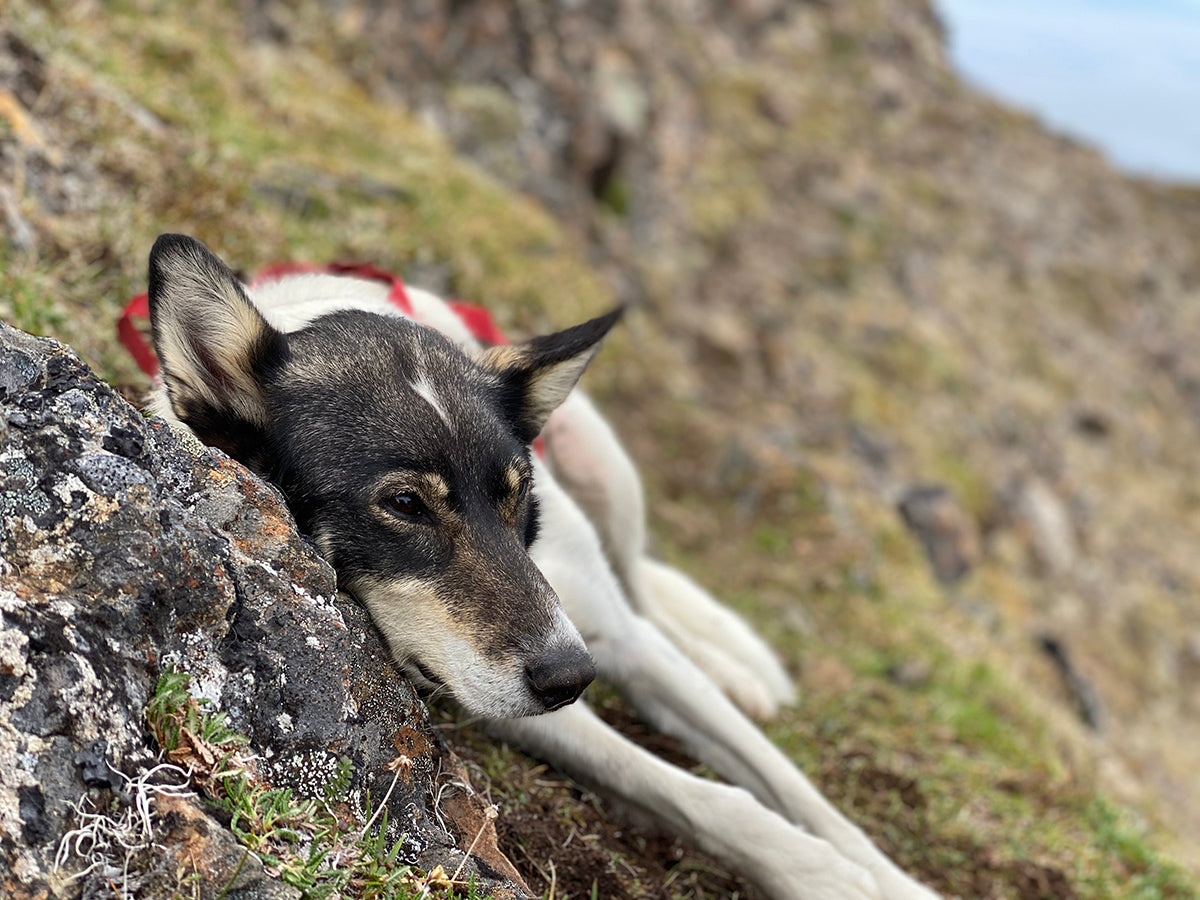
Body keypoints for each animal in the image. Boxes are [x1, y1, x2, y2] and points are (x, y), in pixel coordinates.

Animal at [147, 234, 936, 900]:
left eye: (517, 488)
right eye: (404, 503)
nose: (570, 677)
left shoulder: (608, 638)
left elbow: (793, 787)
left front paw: (891, 879)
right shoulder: (494, 690)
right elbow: (693, 790)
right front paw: (822, 875)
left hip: (606, 467)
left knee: (645, 588)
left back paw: (730, 668)